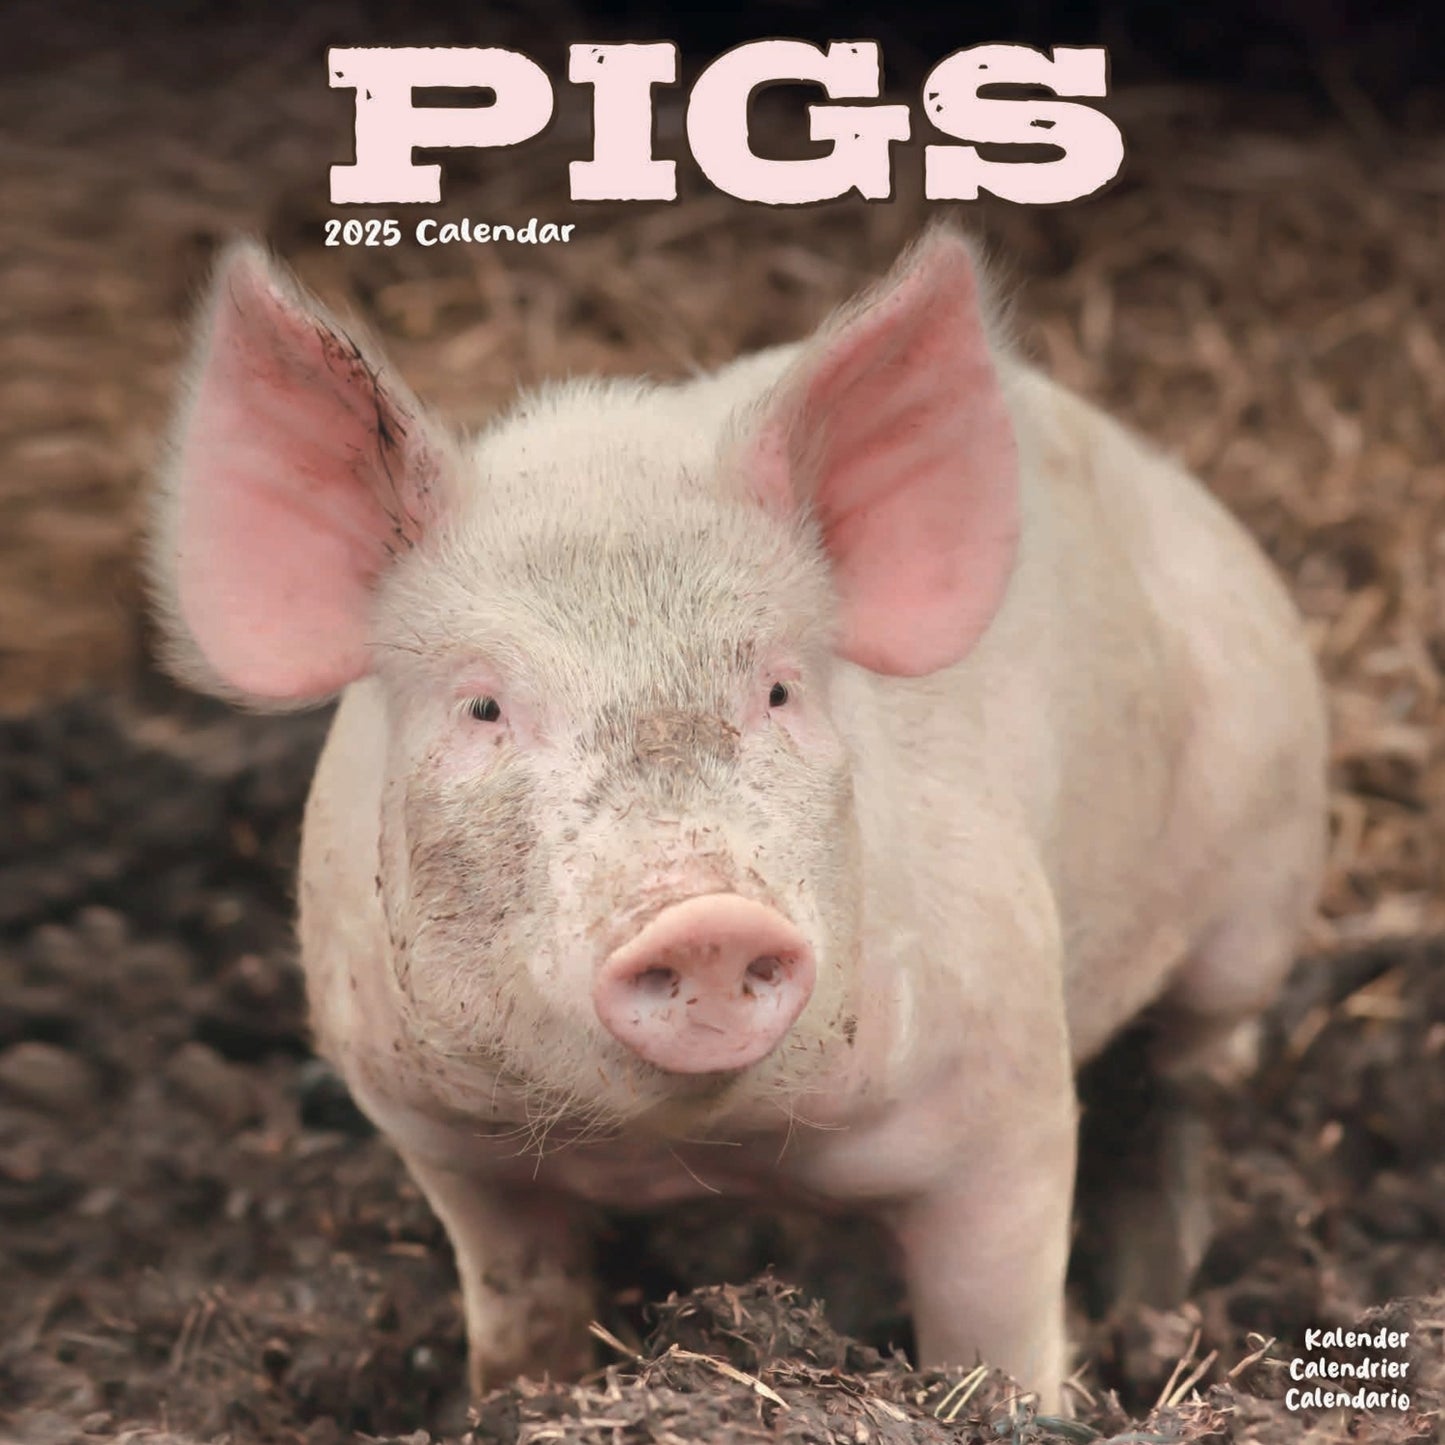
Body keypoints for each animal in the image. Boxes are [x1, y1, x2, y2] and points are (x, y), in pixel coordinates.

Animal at [147, 225, 1328, 1411]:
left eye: (777, 690)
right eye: (481, 706)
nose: (704, 918)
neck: (694, 1149)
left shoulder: (1009, 1077)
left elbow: (996, 1316)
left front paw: (1022, 1406)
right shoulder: (437, 1132)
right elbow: (520, 1301)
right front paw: (506, 1400)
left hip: (1261, 885)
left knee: (1188, 1076)